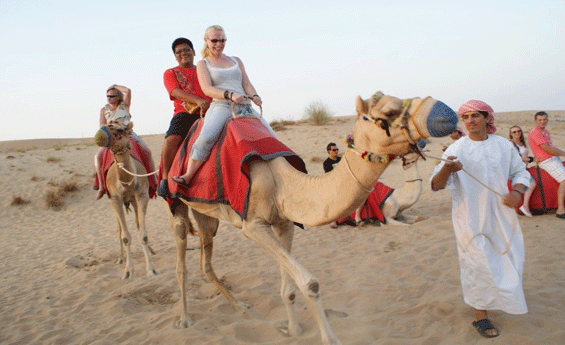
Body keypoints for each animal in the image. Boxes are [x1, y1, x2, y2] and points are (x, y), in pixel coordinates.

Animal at [93, 122, 158, 278]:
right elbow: (125, 236)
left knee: (138, 223)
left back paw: (151, 250)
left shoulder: (142, 195)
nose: (100, 135)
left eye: (120, 130)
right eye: (106, 124)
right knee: (119, 228)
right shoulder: (115, 198)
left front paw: (151, 269)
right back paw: (121, 258)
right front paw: (129, 271)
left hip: (134, 200)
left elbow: (143, 234)